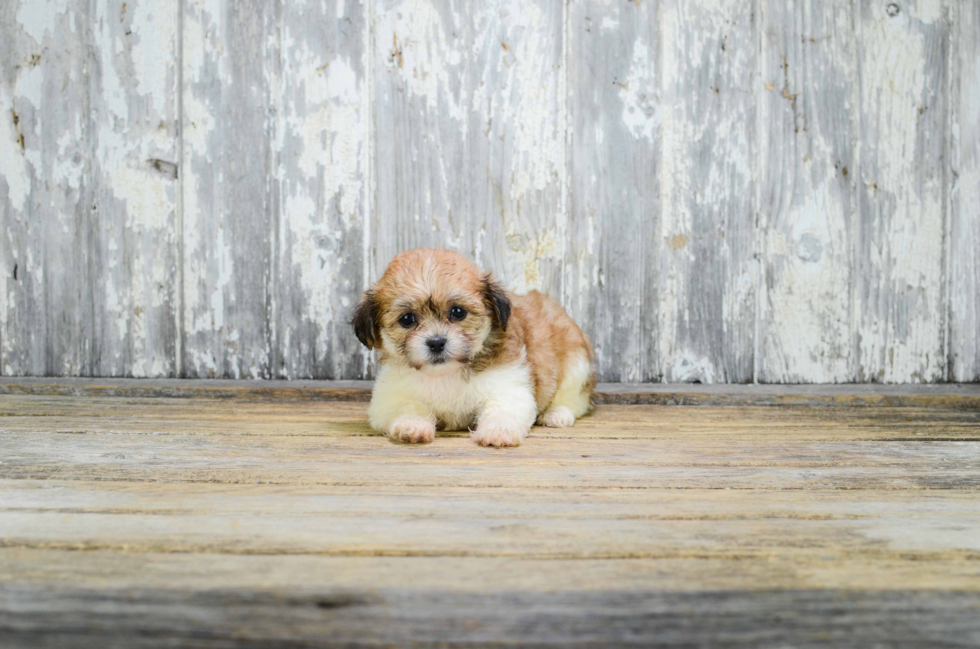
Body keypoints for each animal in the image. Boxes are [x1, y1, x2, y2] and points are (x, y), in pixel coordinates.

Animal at [352, 248, 596, 446]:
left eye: (458, 312)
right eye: (407, 319)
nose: (436, 342)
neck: (445, 374)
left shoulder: (508, 385)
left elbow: (503, 408)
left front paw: (498, 431)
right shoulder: (388, 397)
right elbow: (408, 406)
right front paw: (412, 426)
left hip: (577, 365)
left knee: (574, 399)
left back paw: (557, 414)